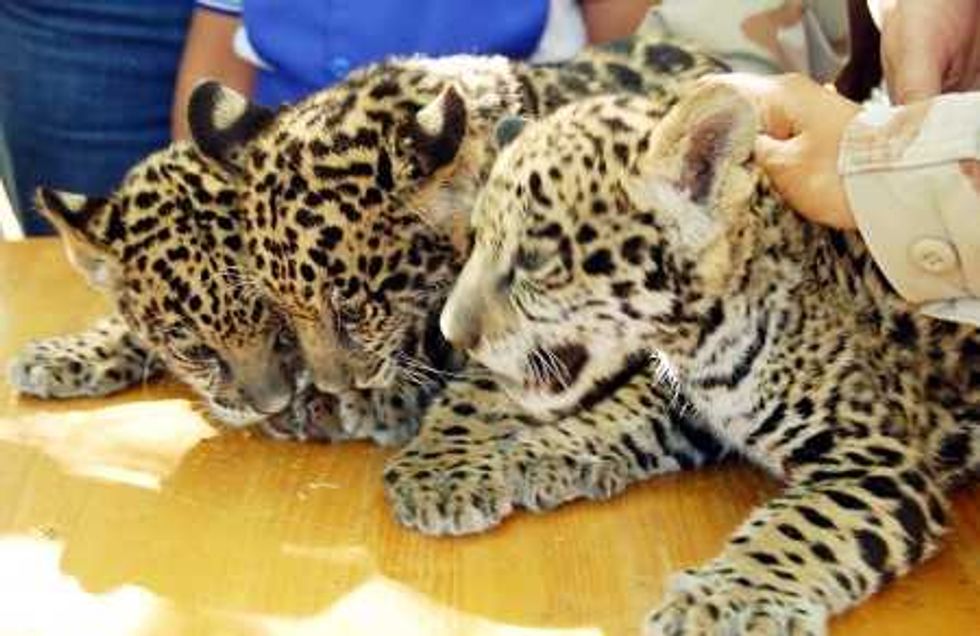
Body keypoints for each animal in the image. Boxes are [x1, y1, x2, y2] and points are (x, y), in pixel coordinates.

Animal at [437, 82, 979, 634]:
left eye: (534, 261)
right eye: (476, 240)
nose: (450, 333)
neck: (698, 343)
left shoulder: (874, 459)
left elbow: (795, 529)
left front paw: (722, 602)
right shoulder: (696, 398)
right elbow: (620, 411)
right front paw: (527, 454)